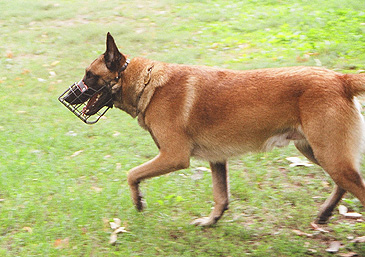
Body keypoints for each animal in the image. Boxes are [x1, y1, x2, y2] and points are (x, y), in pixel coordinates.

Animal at [63, 32, 364, 226]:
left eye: (89, 75)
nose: (67, 97)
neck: (147, 84)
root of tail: (341, 79)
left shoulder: (174, 157)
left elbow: (132, 174)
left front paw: (138, 201)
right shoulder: (217, 159)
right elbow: (221, 197)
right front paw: (211, 221)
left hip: (330, 156)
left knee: (354, 185)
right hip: (316, 152)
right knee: (343, 184)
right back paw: (324, 214)